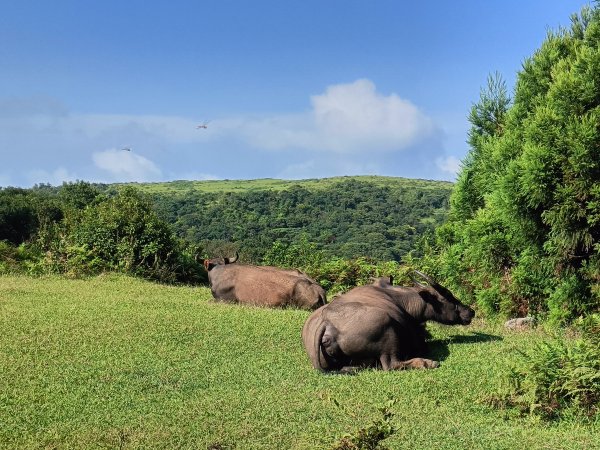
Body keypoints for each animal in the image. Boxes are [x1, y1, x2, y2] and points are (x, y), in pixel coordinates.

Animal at [302, 270, 476, 372]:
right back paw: (427, 363)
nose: (470, 311)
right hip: (387, 330)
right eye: (448, 297)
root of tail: (326, 323)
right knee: (391, 364)